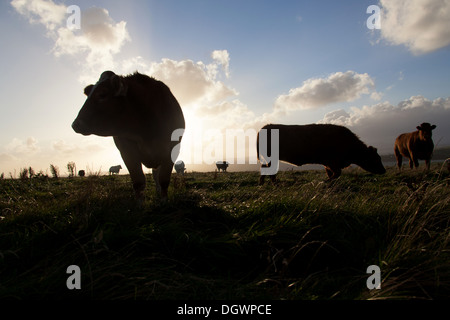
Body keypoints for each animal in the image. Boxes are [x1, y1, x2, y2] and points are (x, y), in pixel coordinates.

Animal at [72, 71, 185, 200]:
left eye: (102, 94)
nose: (75, 124)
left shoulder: (171, 149)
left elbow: (164, 180)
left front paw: (164, 200)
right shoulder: (126, 150)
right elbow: (138, 182)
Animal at [256, 122, 386, 184]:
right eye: (375, 158)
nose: (384, 170)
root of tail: (264, 127)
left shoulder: (328, 163)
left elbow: (332, 174)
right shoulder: (333, 162)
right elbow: (336, 174)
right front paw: (324, 182)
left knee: (265, 170)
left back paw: (262, 184)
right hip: (271, 158)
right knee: (270, 172)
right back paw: (274, 184)